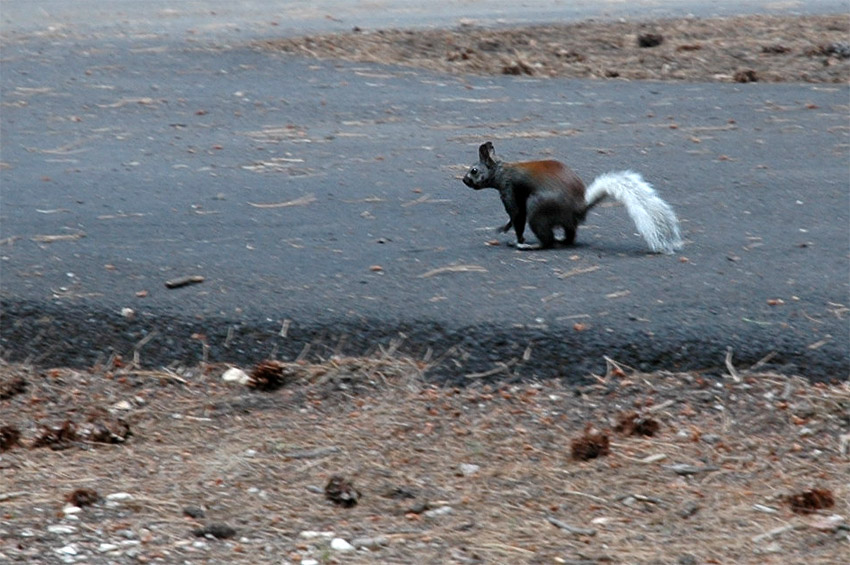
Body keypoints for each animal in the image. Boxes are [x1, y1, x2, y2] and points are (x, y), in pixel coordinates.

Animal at [460, 141, 680, 253]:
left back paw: (530, 245)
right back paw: (562, 240)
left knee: (547, 240)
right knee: (570, 235)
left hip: (538, 208)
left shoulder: (509, 189)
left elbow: (516, 215)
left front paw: (515, 236)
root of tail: (579, 207)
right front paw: (506, 228)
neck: (501, 171)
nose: (464, 180)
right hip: (562, 220)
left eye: (474, 170)